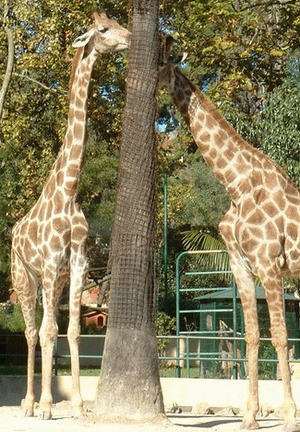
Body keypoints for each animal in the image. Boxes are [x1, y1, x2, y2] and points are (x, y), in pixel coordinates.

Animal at [10, 11, 130, 420]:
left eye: (118, 22)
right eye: (104, 30)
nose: (131, 39)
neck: (70, 190)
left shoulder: (76, 264)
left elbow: (73, 331)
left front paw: (77, 404)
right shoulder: (48, 263)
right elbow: (48, 333)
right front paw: (49, 405)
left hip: (54, 280)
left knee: (46, 328)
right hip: (24, 276)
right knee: (32, 331)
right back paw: (28, 402)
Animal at [161, 35, 300, 430]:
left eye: (162, 61)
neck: (236, 184)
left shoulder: (270, 265)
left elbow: (280, 337)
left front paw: (289, 415)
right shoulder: (241, 265)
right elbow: (250, 336)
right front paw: (250, 415)